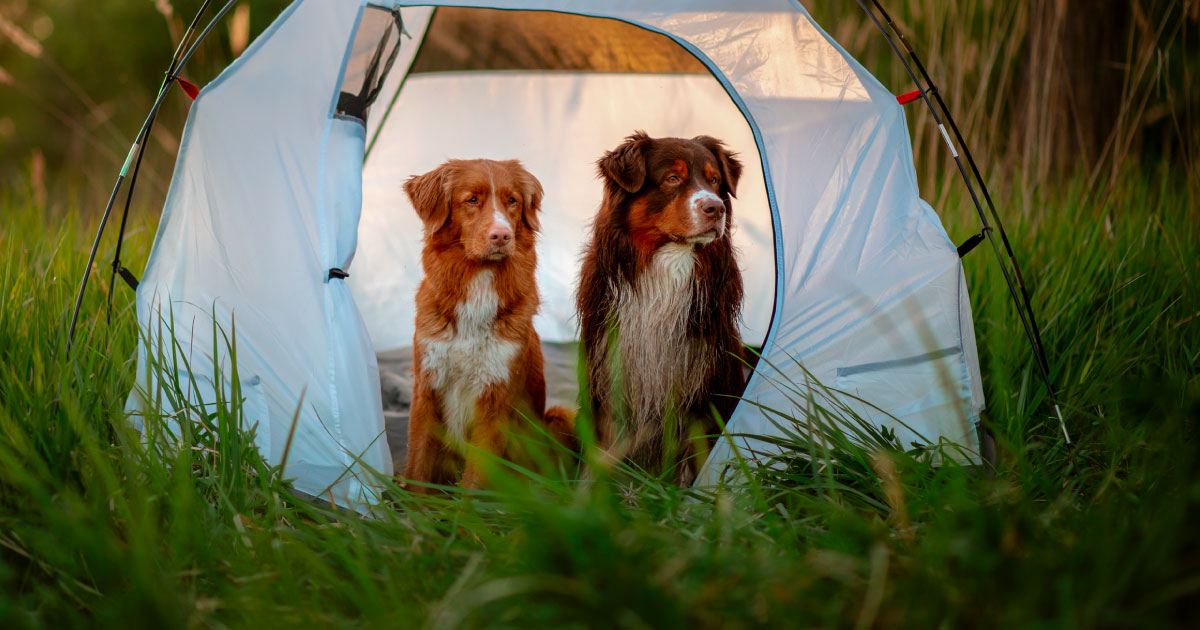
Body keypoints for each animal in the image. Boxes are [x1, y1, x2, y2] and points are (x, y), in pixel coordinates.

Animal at [403, 158, 571, 492]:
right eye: (471, 199)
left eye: (512, 201)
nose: (501, 236)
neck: (478, 280)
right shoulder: (426, 389)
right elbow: (417, 468)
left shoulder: (495, 398)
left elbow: (475, 481)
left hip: (558, 419)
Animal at [576, 132, 744, 484]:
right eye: (672, 179)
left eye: (714, 180)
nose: (716, 207)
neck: (669, 264)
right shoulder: (611, 380)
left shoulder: (702, 391)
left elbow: (698, 463)